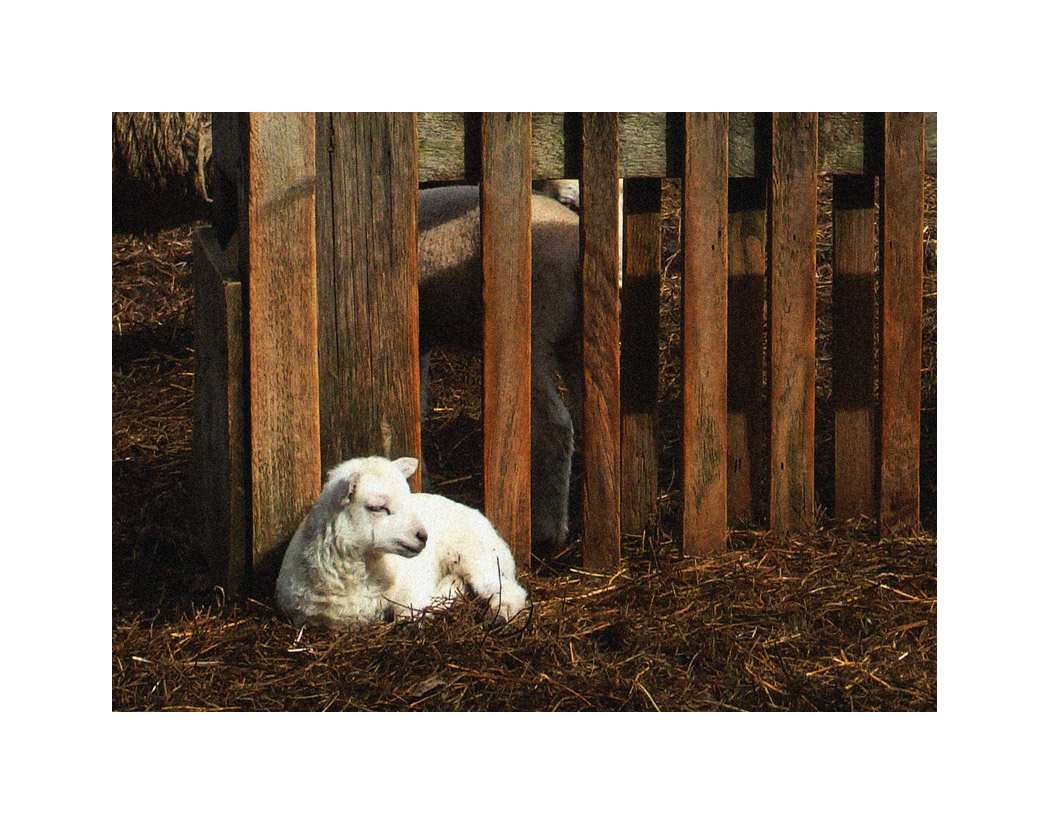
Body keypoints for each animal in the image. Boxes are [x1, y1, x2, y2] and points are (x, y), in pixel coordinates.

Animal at [276, 455, 528, 630]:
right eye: (376, 507)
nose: (423, 536)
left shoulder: (411, 589)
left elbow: (409, 616)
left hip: (477, 555)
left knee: (508, 590)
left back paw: (500, 613)